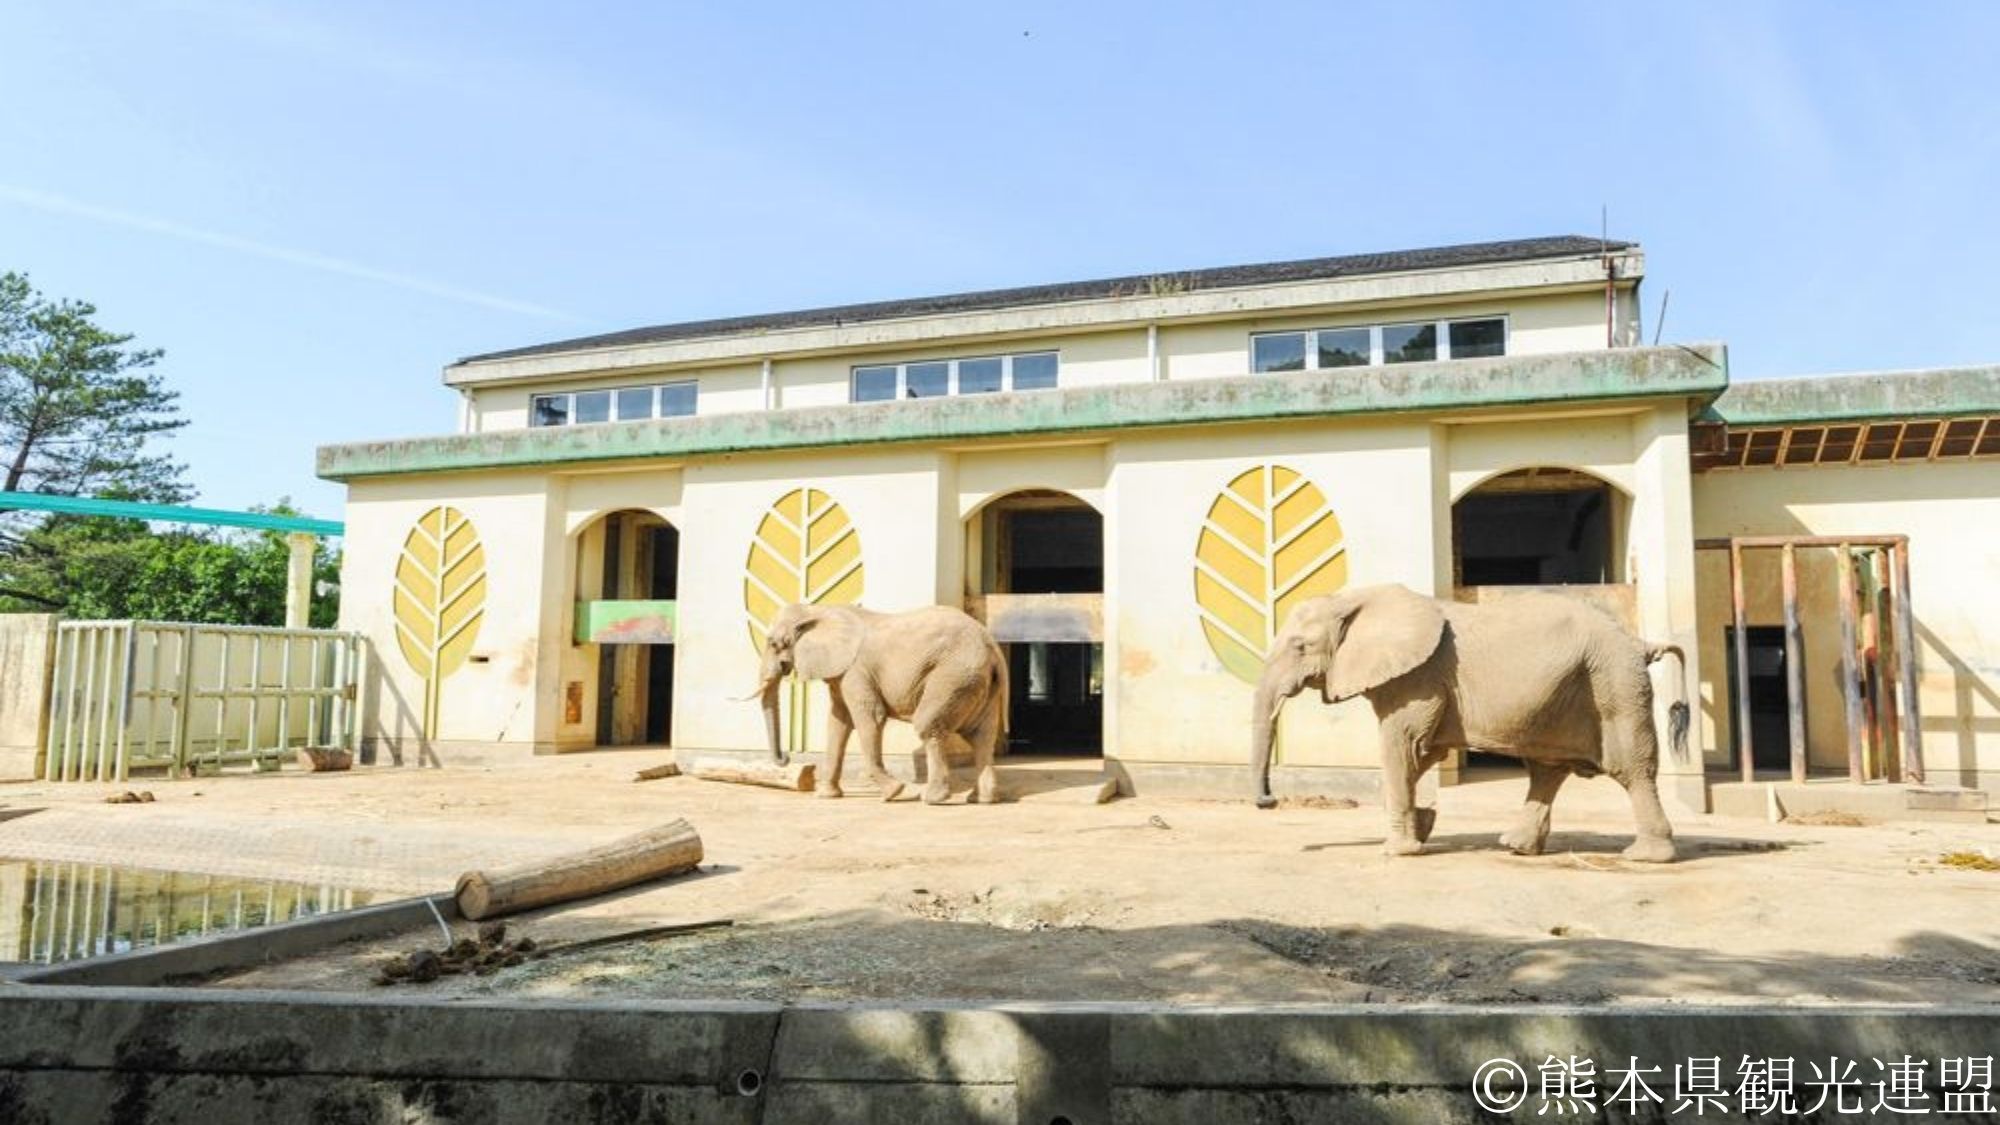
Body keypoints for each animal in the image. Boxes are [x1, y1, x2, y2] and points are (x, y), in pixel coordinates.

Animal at [752, 600, 1008, 800]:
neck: (818, 610)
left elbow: (870, 718)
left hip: (953, 675)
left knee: (928, 726)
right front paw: (827, 795)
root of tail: (992, 646)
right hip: (977, 681)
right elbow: (839, 722)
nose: (785, 758)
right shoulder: (841, 672)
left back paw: (932, 798)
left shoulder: (856, 671)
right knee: (982, 735)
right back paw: (982, 799)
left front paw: (897, 792)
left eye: (774, 644)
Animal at [1248, 576, 1688, 856]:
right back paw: (1516, 847)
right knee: (1547, 768)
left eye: (1300, 646)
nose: (1269, 800)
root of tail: (1639, 642)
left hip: (1614, 683)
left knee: (1630, 768)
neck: (1352, 599)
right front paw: (1424, 826)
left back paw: (1645, 856)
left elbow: (1401, 745)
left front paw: (1399, 850)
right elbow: (1423, 752)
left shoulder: (1419, 678)